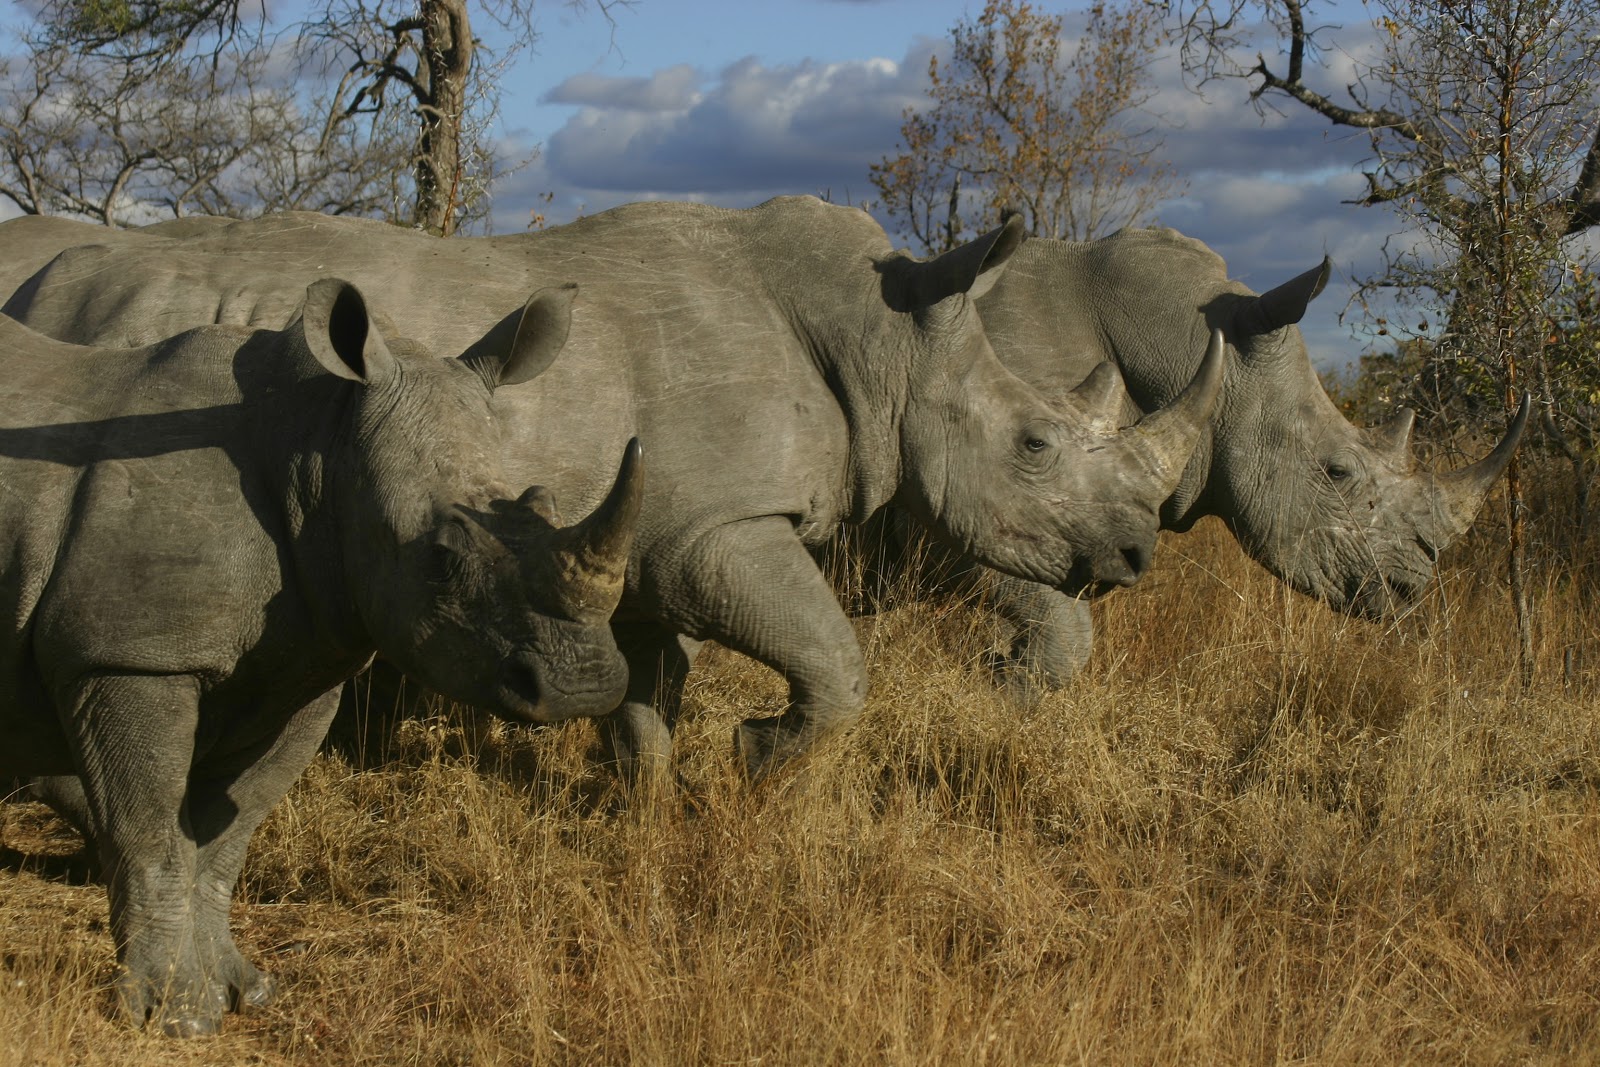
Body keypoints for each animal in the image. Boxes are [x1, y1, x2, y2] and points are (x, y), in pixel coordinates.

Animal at [0, 198, 1223, 781]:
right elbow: (834, 661)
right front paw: (759, 763)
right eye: (1032, 443)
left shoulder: (638, 539)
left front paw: (645, 811)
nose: (1133, 555)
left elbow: (646, 695)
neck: (888, 342)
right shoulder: (716, 527)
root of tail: (53, 282)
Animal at [0, 278, 643, 1034]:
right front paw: (177, 1016)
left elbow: (223, 837)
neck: (320, 446)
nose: (584, 686)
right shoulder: (127, 655)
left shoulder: (303, 667)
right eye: (440, 559)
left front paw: (245, 990)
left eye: (538, 503)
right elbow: (149, 833)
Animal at [956, 227, 1527, 685]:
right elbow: (1062, 632)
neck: (1190, 351)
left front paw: (993, 667)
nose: (1412, 587)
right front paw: (1002, 684)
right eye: (1337, 471)